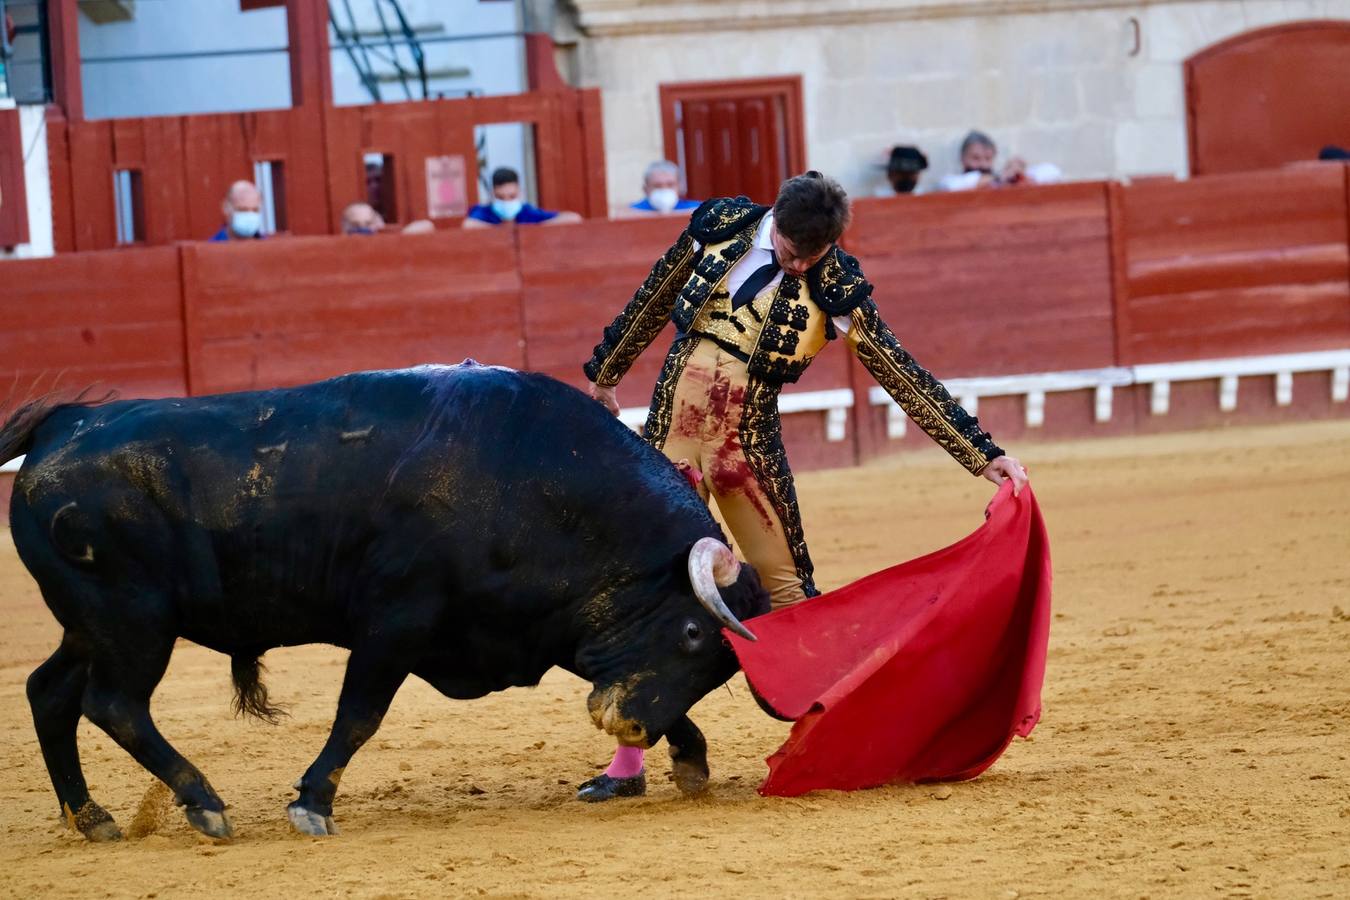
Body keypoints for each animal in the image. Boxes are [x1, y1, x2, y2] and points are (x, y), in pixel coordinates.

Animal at [5, 361, 772, 841]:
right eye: (696, 635)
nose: (629, 728)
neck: (536, 482)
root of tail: (60, 429)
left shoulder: (537, 627)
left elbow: (634, 687)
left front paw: (692, 760)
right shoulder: (394, 625)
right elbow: (358, 717)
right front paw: (312, 804)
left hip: (92, 626)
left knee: (51, 693)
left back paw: (93, 818)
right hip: (133, 620)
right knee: (113, 704)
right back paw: (203, 803)